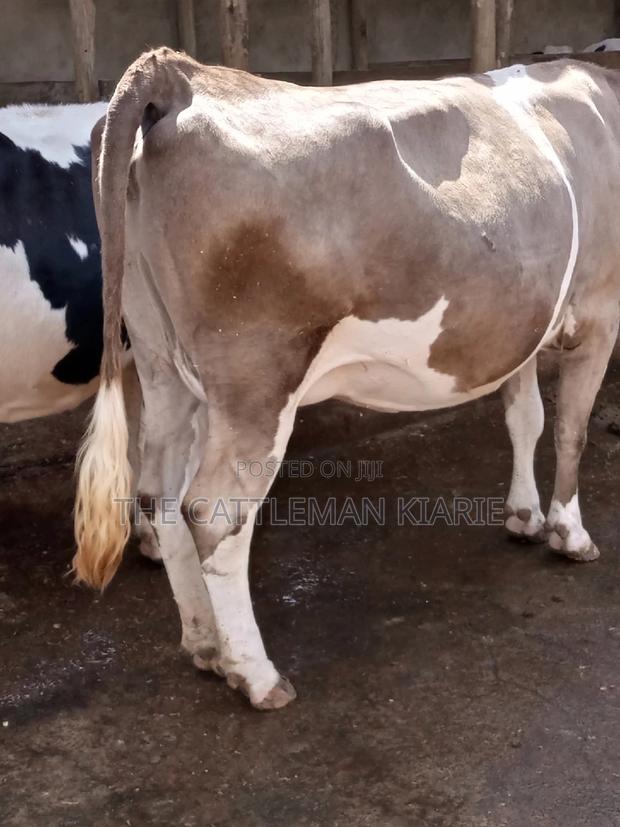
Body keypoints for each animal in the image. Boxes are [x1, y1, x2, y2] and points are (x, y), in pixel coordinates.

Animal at [74, 48, 620, 710]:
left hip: (162, 365)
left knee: (162, 496)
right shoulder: (600, 309)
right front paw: (571, 533)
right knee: (212, 511)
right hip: (257, 383)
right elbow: (570, 429)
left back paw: (204, 645)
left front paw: (524, 516)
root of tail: (181, 75)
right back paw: (257, 675)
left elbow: (525, 420)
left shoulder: (519, 328)